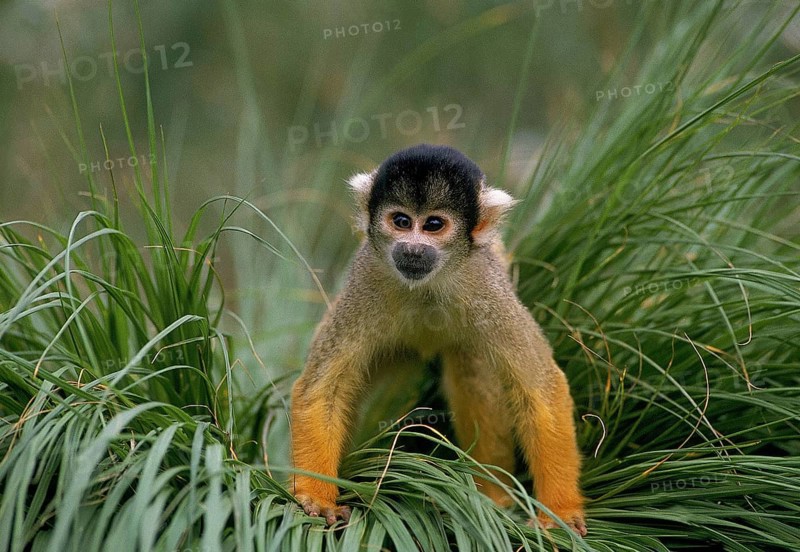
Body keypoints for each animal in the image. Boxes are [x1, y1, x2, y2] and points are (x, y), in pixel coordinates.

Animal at [290, 144, 587, 536]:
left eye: (433, 225)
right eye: (401, 221)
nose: (413, 249)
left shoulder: (485, 283)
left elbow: (541, 388)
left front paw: (560, 512)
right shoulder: (366, 278)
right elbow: (323, 389)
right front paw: (317, 496)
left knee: (472, 371)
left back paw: (491, 494)